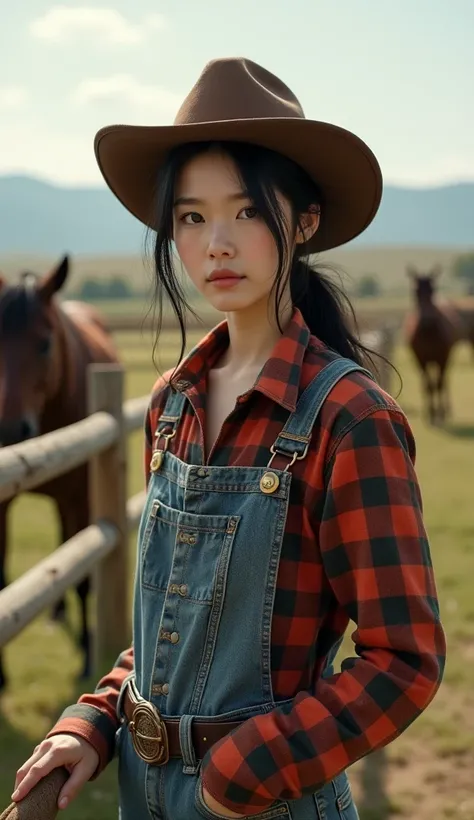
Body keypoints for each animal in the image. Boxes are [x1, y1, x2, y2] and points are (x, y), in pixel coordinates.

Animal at [404, 266, 462, 426]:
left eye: (433, 289)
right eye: (416, 290)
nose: (427, 320)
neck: (429, 333)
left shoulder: (443, 357)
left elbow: (439, 384)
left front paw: (440, 414)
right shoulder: (420, 358)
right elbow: (428, 385)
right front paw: (430, 415)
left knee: (444, 380)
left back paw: (447, 409)